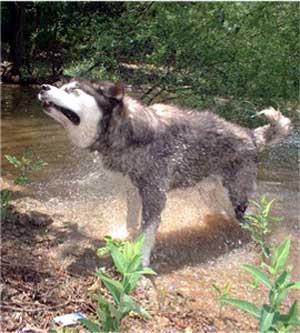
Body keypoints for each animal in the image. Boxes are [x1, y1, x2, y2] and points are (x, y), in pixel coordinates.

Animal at [37, 79, 290, 266]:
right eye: (61, 85)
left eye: (73, 90)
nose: (43, 87)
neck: (125, 132)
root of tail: (251, 135)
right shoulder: (132, 190)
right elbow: (131, 220)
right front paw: (126, 237)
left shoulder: (154, 194)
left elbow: (148, 230)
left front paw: (140, 259)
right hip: (211, 195)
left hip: (235, 197)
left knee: (247, 220)